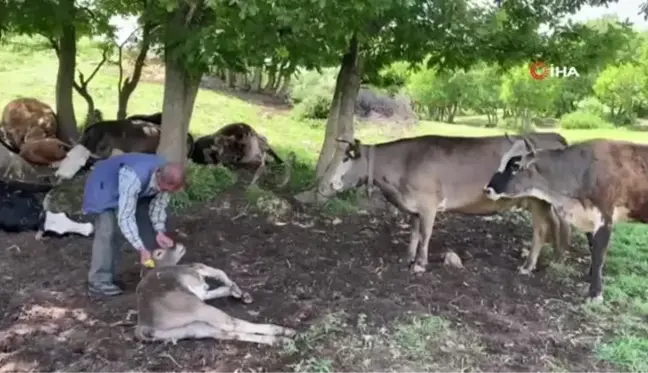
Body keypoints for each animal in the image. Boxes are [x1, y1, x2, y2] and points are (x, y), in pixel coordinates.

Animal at [137, 244, 298, 346]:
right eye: (159, 252)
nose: (176, 245)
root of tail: (144, 324)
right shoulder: (194, 274)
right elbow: (216, 271)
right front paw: (237, 291)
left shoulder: (201, 290)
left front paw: (238, 292)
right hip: (200, 310)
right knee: (232, 324)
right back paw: (283, 331)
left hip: (192, 328)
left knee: (227, 333)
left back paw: (279, 340)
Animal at [326, 132, 568, 272]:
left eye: (346, 158)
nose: (329, 183)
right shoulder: (414, 206)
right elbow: (414, 233)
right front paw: (408, 257)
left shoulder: (428, 204)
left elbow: (425, 234)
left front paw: (420, 264)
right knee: (554, 223)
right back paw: (556, 256)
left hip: (536, 200)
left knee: (541, 229)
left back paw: (528, 266)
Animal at [480, 137, 648, 302]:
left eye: (515, 165)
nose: (487, 189)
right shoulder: (588, 219)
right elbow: (592, 248)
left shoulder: (604, 218)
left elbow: (598, 256)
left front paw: (595, 293)